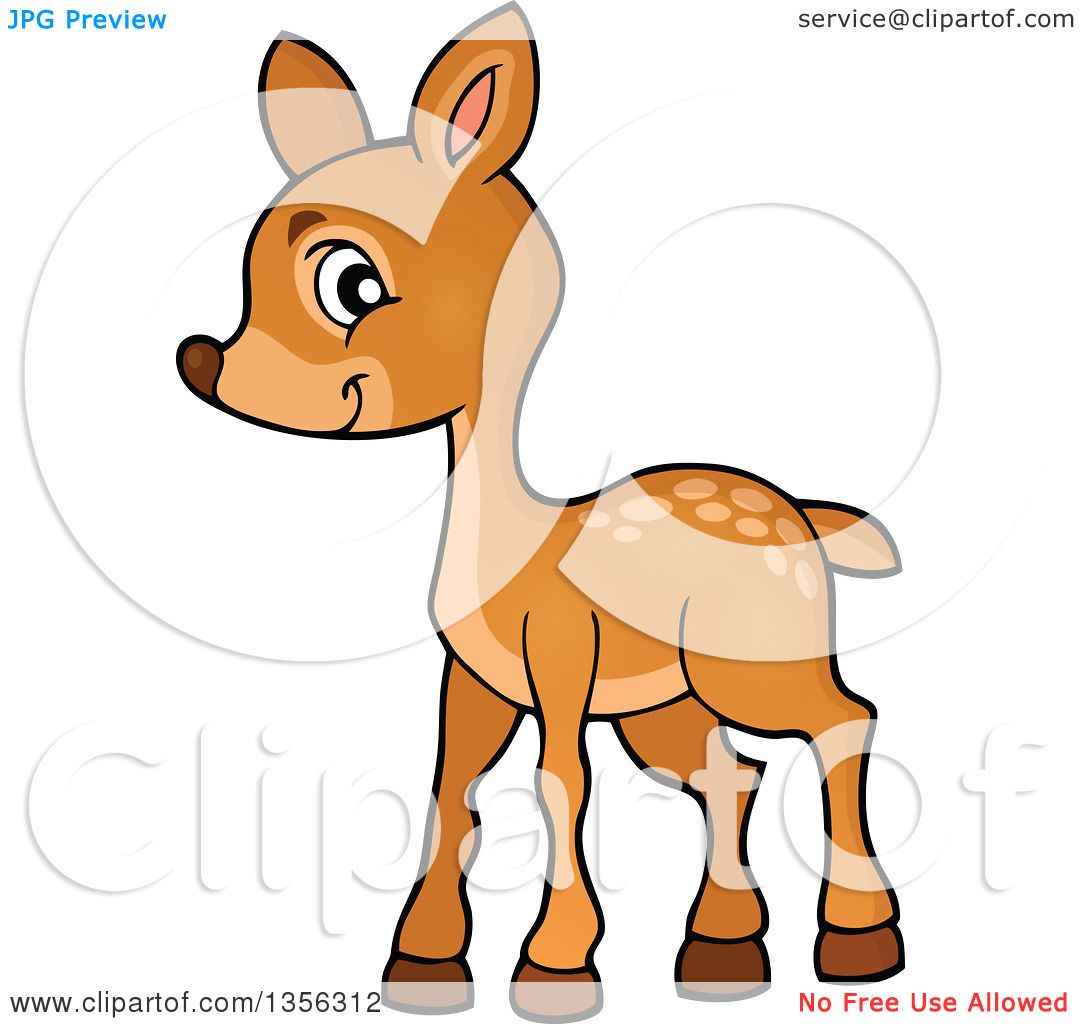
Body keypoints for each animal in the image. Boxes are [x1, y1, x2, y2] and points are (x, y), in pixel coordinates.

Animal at [176, 4, 906, 1020]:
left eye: (353, 285)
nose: (208, 365)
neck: (514, 546)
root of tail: (802, 514)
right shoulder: (475, 678)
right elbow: (454, 788)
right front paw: (424, 966)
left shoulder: (561, 658)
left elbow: (559, 780)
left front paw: (555, 969)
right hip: (667, 700)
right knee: (731, 770)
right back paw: (721, 956)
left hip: (756, 656)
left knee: (844, 719)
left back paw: (858, 943)